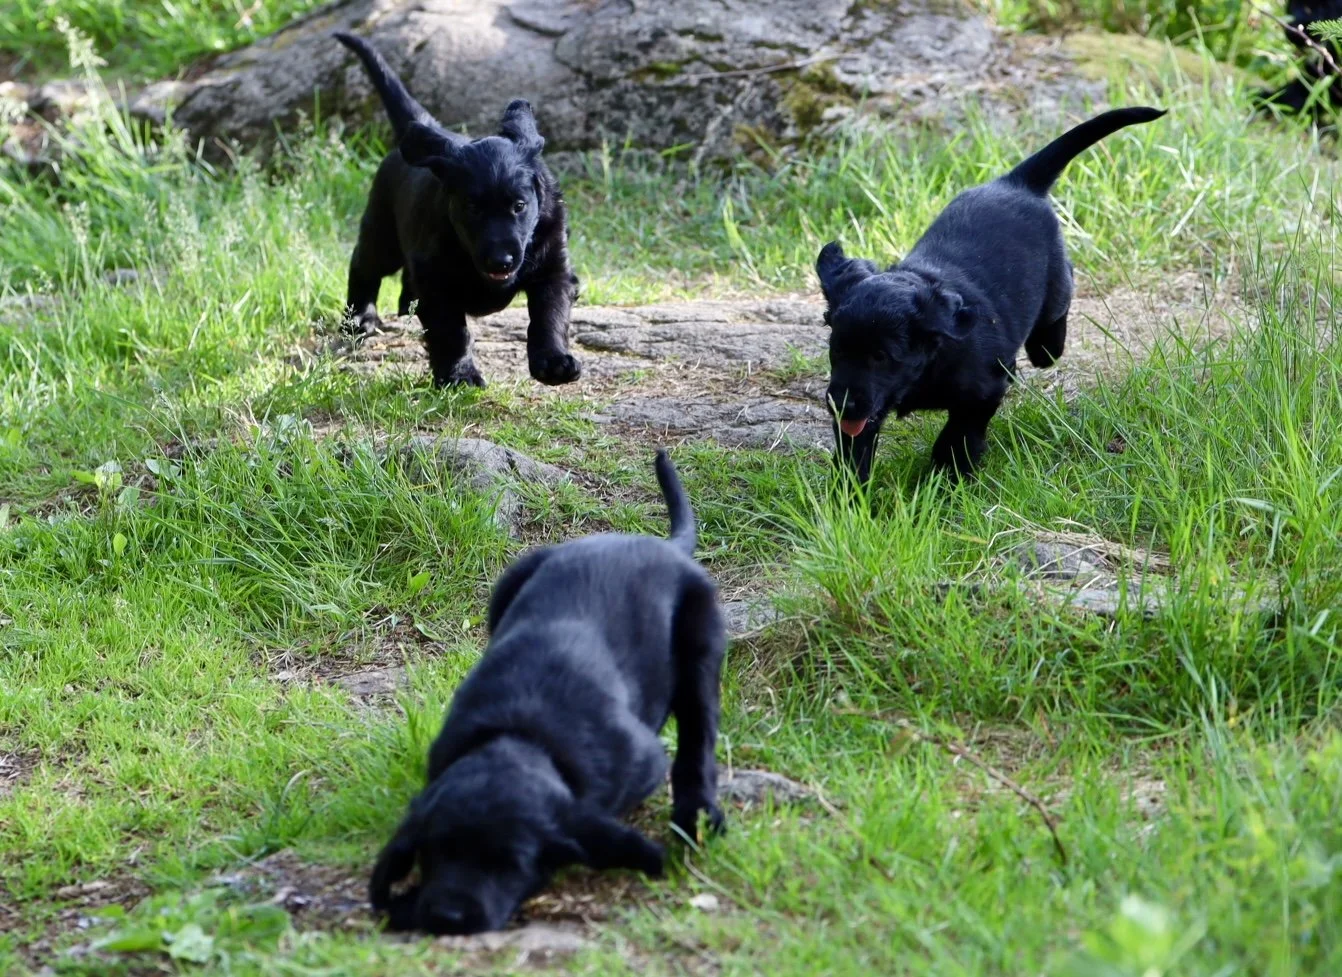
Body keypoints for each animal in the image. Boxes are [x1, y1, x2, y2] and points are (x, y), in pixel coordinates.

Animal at [334, 32, 581, 389]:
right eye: (471, 207)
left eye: (520, 206)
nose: (501, 260)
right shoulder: (436, 280)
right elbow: (451, 331)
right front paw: (460, 374)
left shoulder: (553, 266)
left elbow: (550, 315)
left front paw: (553, 362)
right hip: (383, 234)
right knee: (364, 265)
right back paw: (359, 319)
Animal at [369, 450, 726, 935]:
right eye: (432, 851)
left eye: (510, 863)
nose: (447, 918)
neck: (523, 738)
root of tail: (665, 546)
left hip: (702, 643)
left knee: (697, 736)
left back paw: (698, 814)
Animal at [818, 106, 1166, 483]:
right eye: (837, 350)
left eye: (882, 357)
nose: (840, 402)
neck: (935, 354)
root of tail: (1014, 182)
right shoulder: (866, 407)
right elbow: (856, 443)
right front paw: (850, 488)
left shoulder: (982, 391)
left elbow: (960, 432)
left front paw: (950, 471)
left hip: (1054, 292)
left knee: (1061, 298)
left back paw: (1046, 346)